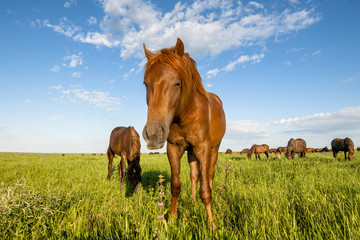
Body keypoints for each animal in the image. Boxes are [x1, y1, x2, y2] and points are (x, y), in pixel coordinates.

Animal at [141, 38, 224, 229]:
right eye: (146, 83)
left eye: (177, 83)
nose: (153, 134)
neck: (186, 114)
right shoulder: (174, 148)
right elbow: (175, 185)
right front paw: (171, 219)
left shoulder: (203, 148)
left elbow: (205, 189)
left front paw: (212, 225)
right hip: (191, 152)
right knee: (194, 176)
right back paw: (193, 204)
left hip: (214, 149)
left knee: (209, 176)